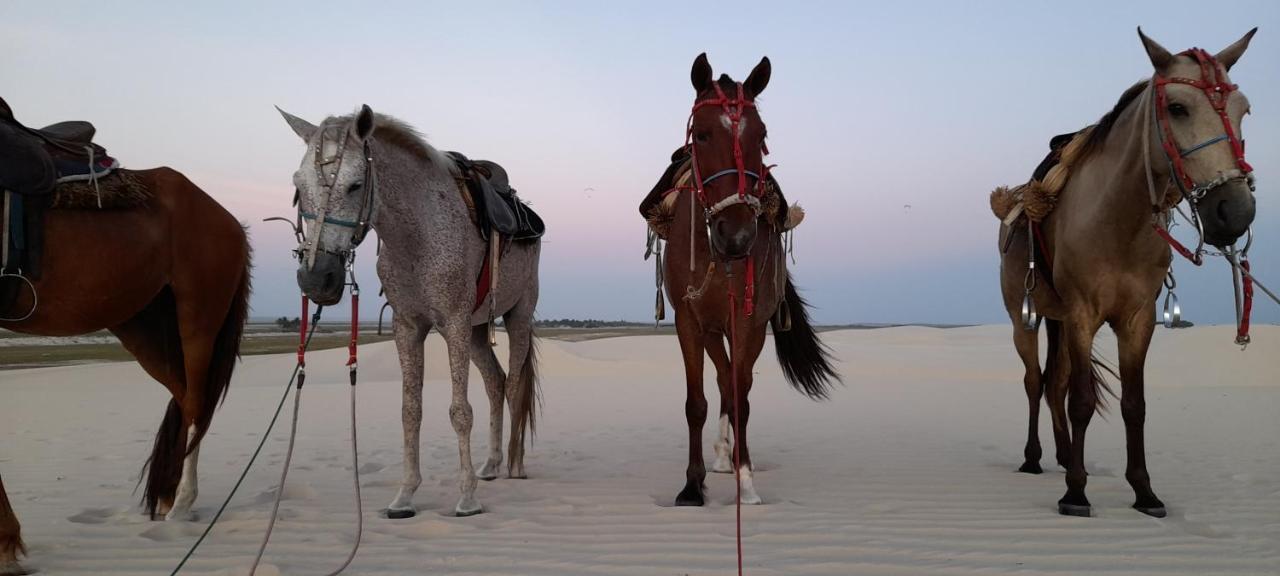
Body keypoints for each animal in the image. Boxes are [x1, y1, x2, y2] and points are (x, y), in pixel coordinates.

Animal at [0, 119, 249, 573]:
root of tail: (232, 223)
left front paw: (7, 546)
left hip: (198, 314)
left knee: (195, 402)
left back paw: (181, 504)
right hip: (141, 320)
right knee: (183, 394)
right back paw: (167, 498)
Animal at [650, 51, 839, 506]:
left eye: (761, 135)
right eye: (700, 135)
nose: (736, 235)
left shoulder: (750, 321)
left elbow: (743, 396)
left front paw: (747, 481)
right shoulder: (689, 320)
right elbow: (696, 402)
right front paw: (692, 485)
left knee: (737, 384)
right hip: (712, 328)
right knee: (722, 378)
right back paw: (721, 455)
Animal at [988, 28, 1259, 517]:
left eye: (1242, 109)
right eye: (1177, 108)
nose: (1234, 212)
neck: (1117, 220)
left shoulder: (1138, 320)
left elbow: (1135, 404)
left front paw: (1144, 491)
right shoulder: (1082, 315)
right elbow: (1081, 401)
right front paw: (1076, 494)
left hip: (1057, 321)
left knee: (1054, 383)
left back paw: (1062, 455)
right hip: (1026, 319)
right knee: (1036, 383)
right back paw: (1035, 458)